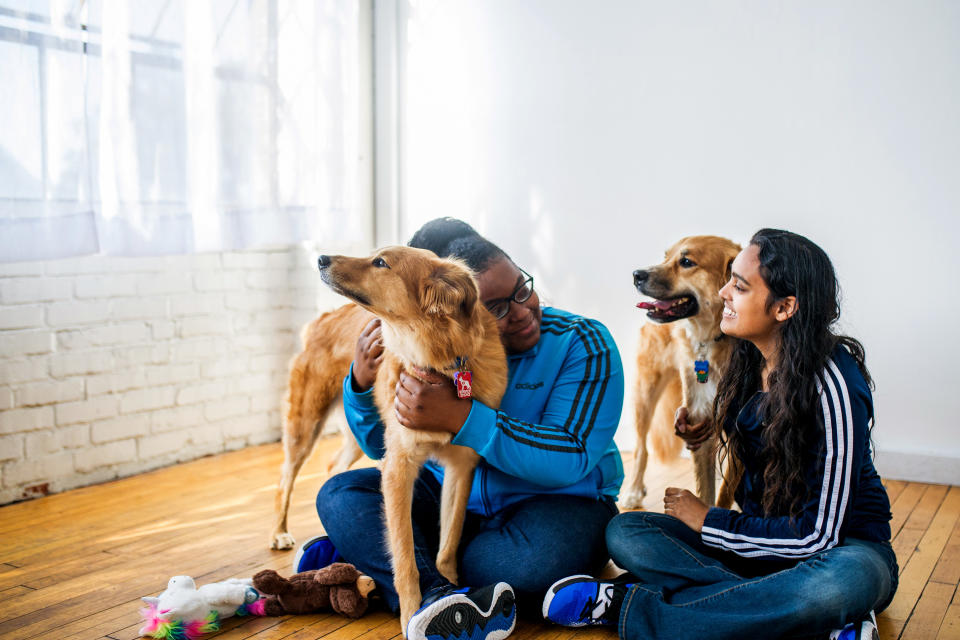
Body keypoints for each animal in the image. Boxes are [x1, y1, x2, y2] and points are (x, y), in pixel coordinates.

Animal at [318, 245, 510, 632]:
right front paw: (412, 612)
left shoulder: (461, 468)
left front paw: (450, 586)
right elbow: (405, 556)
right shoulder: (397, 469)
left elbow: (448, 542)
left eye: (380, 262)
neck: (438, 362)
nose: (320, 260)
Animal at [620, 235, 748, 510]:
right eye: (665, 257)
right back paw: (633, 490)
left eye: (687, 262)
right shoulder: (700, 426)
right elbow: (706, 493)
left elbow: (722, 495)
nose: (636, 275)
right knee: (641, 447)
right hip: (646, 391)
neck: (715, 338)